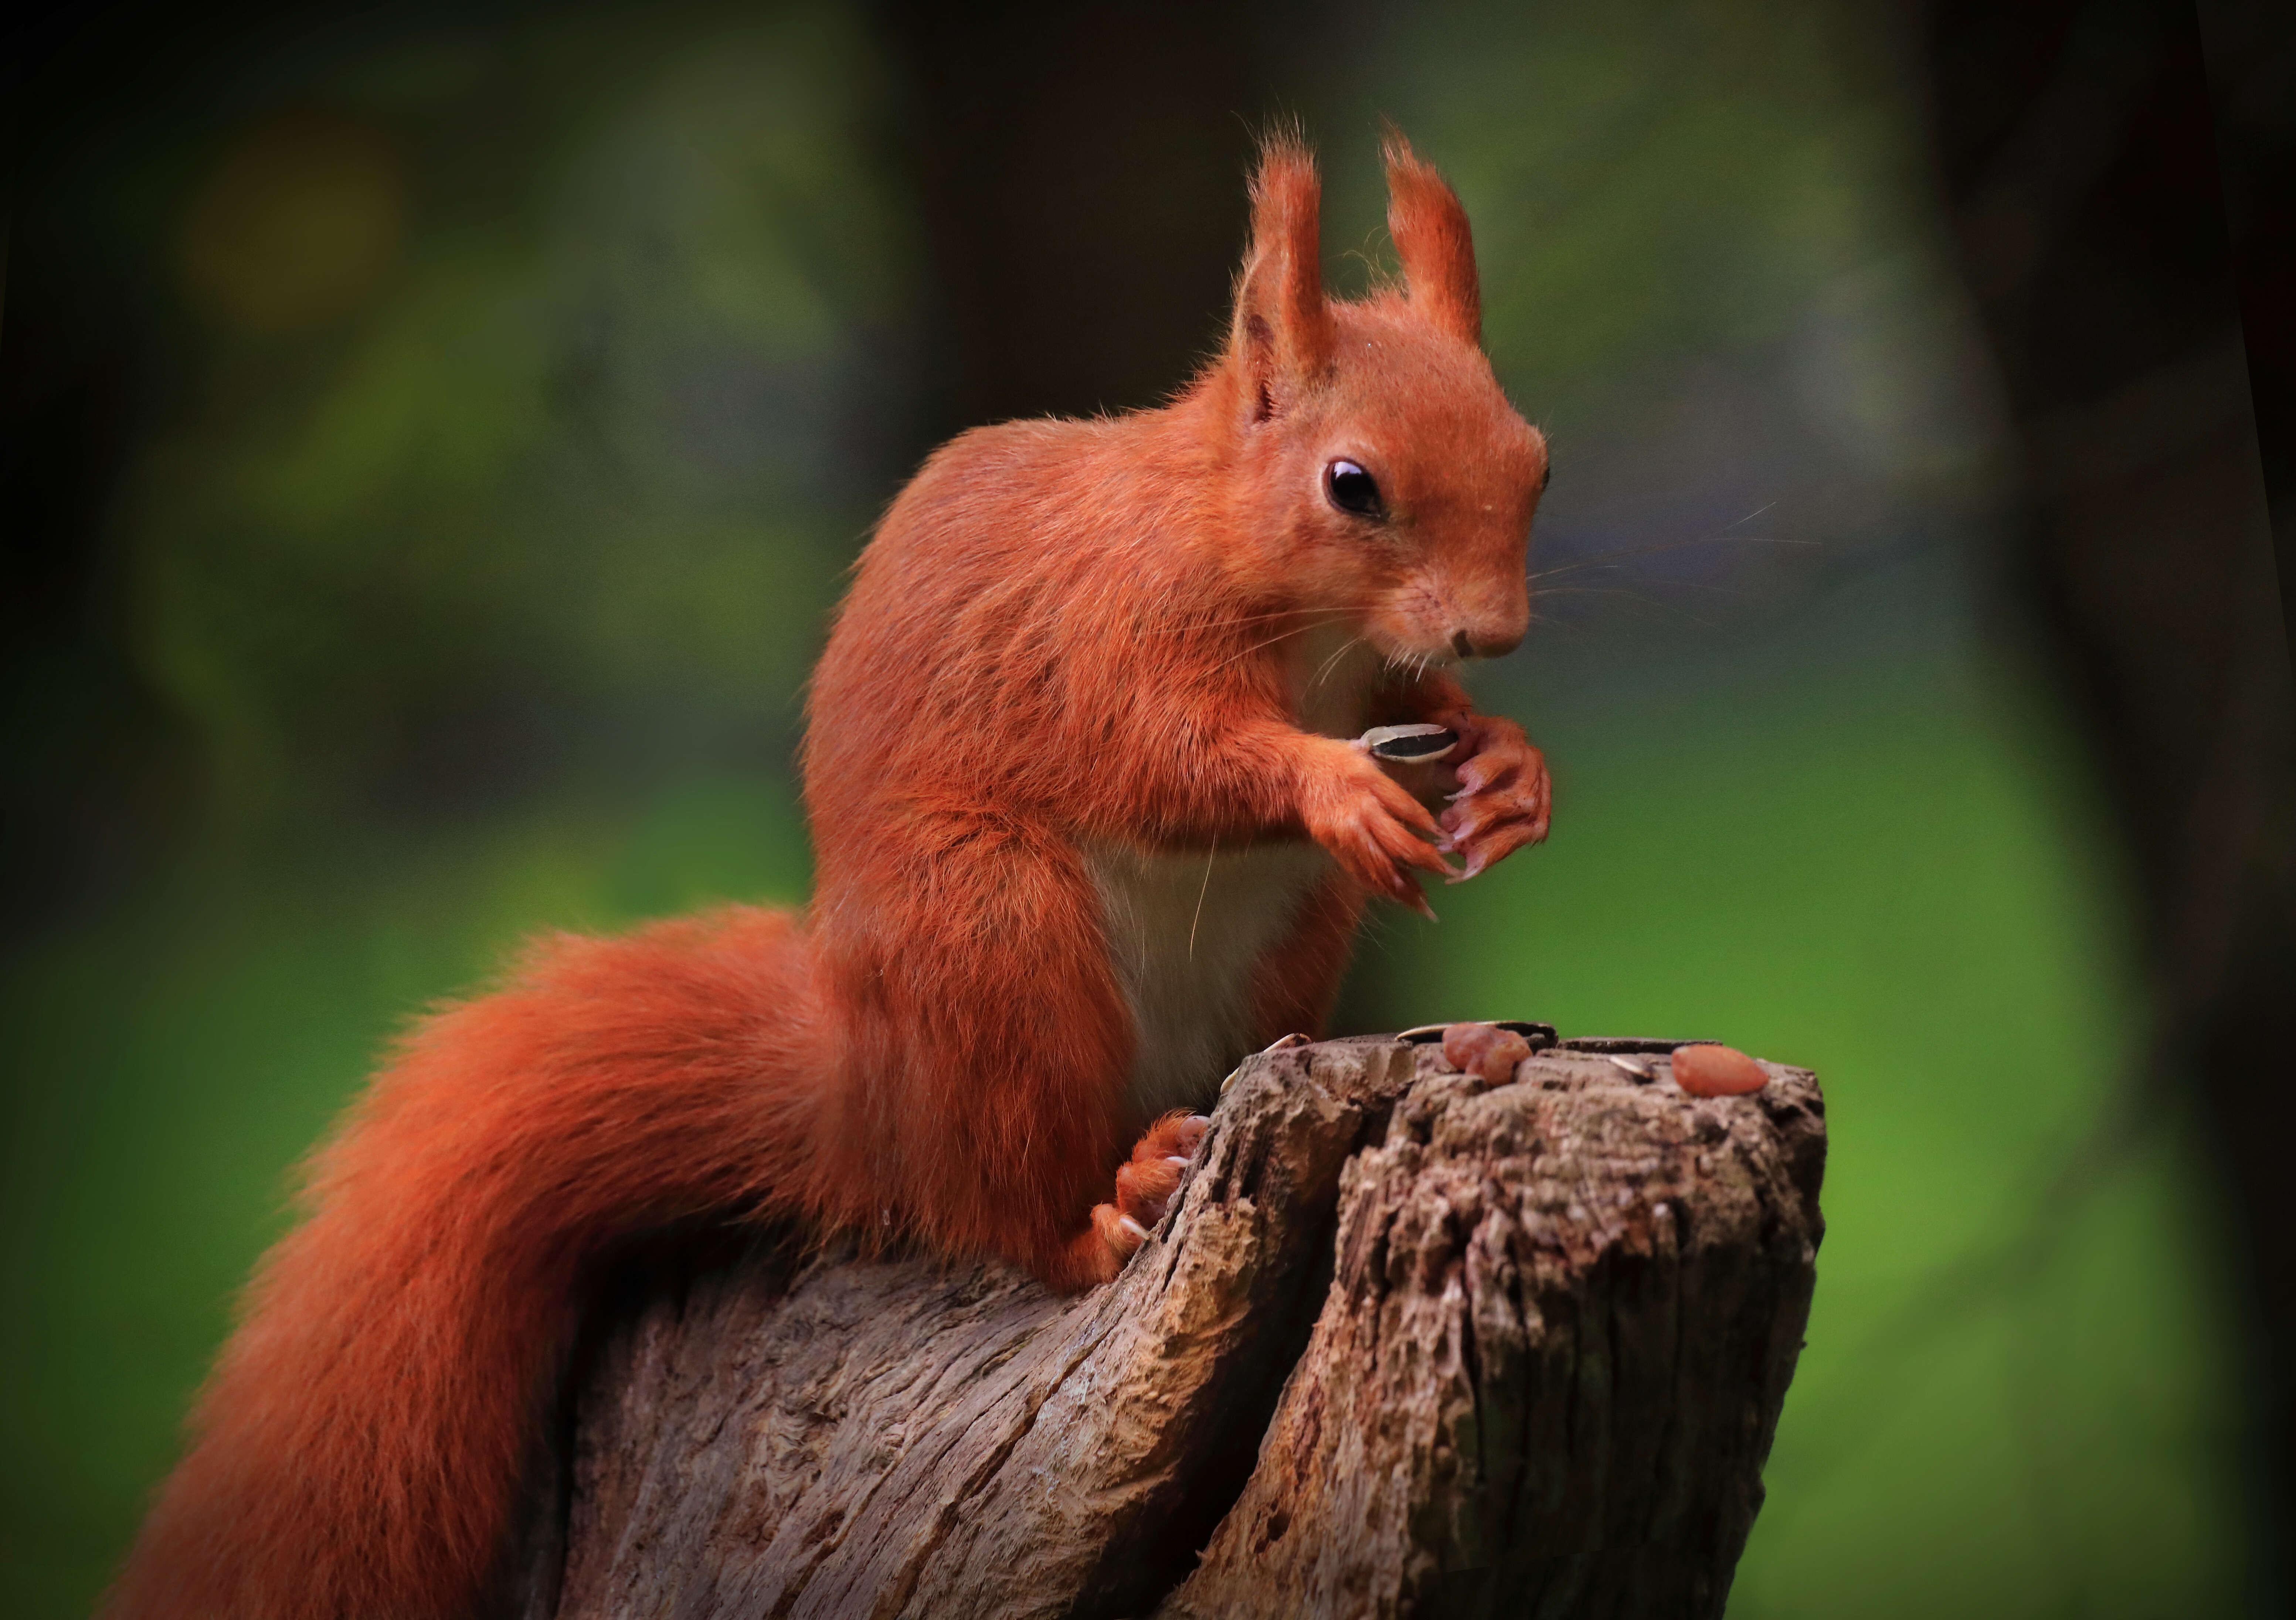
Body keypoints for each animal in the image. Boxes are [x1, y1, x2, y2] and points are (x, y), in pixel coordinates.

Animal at [103, 135, 1543, 1615]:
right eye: (1351, 484)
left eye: (1533, 459)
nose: (1495, 630)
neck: (1292, 605)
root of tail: (863, 1095)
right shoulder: (1100, 631)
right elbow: (1163, 755)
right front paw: (1334, 787)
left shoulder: (1370, 677)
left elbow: (1423, 717)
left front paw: (1508, 769)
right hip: (991, 935)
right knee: (999, 1199)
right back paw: (1105, 1207)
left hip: (1270, 953)